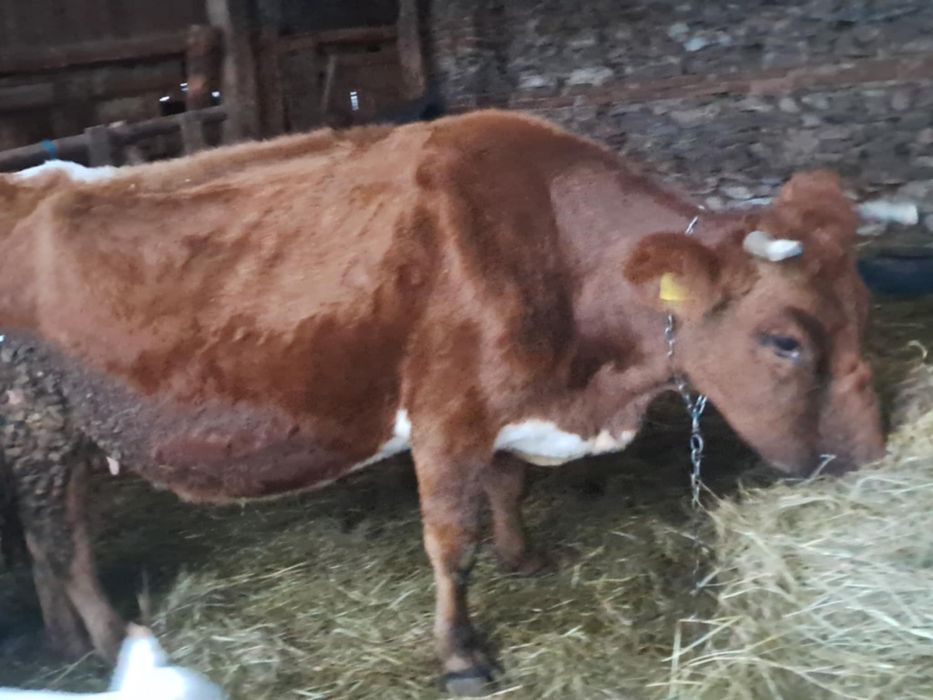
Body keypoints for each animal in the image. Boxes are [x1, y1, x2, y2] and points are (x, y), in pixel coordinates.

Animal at [0, 110, 884, 696]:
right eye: (784, 341)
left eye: (859, 307)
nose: (871, 457)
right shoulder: (446, 415)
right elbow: (451, 543)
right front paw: (462, 656)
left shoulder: (504, 407)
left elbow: (509, 485)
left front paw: (522, 556)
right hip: (36, 423)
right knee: (59, 543)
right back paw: (110, 643)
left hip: (57, 430)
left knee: (54, 533)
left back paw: (61, 641)